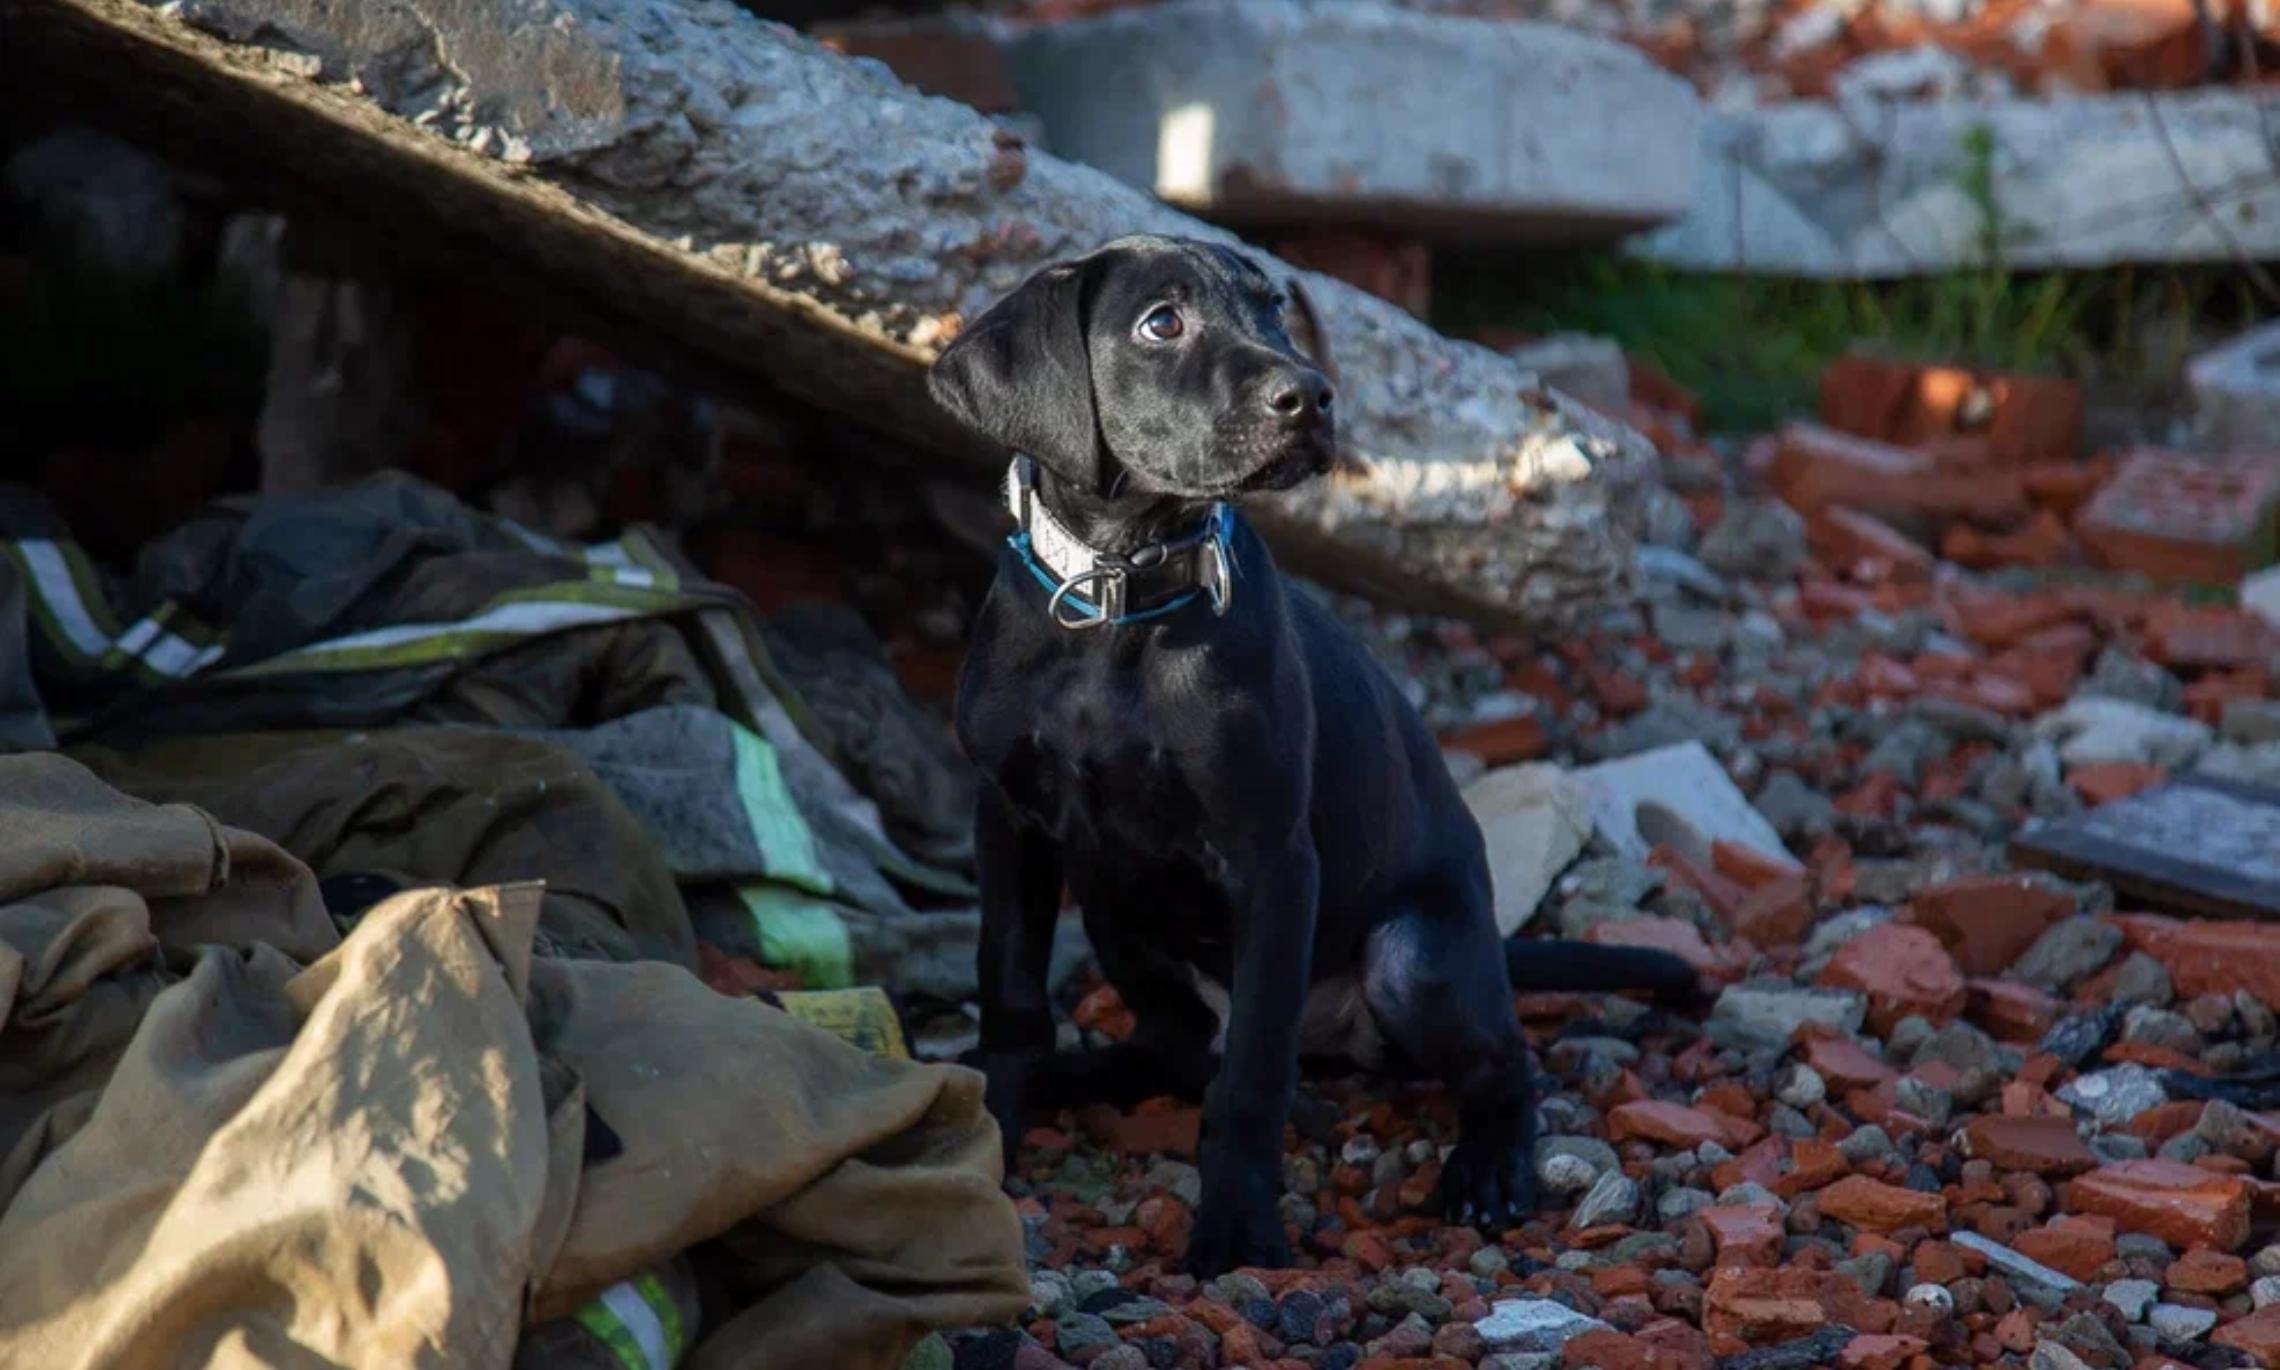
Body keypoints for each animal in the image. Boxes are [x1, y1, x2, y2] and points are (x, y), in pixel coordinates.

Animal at [925, 234, 1696, 1267]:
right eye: (1161, 323)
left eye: (1274, 310)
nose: (1313, 395)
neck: (1120, 595)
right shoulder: (1010, 822)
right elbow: (1010, 995)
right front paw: (990, 1131)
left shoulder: (1273, 859)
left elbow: (1253, 1076)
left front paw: (1239, 1231)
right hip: (1121, 920)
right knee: (1176, 1049)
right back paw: (1073, 1078)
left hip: (1415, 959)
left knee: (1501, 1064)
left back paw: (1489, 1169)